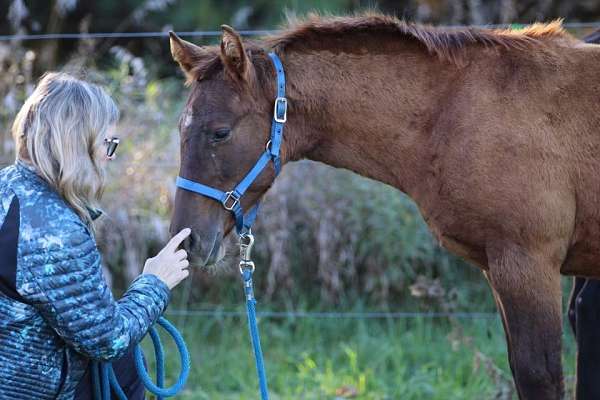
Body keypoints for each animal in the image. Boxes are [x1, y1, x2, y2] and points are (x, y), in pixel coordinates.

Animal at [166, 14, 600, 398]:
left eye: (220, 132)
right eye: (181, 130)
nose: (186, 240)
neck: (455, 110)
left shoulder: (526, 264)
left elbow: (539, 376)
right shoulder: (497, 270)